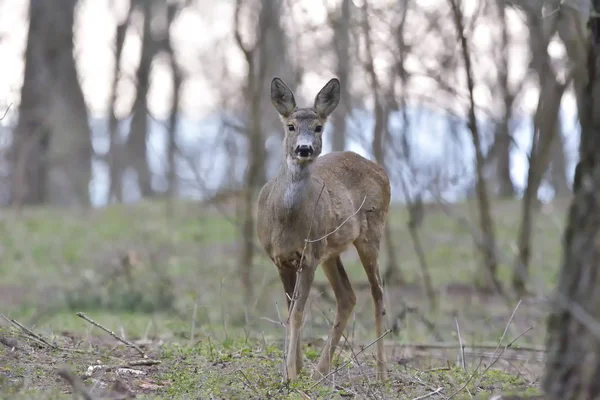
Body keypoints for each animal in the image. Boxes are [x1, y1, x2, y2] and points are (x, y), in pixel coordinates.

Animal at [255, 77, 392, 382]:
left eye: (318, 127)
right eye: (291, 126)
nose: (304, 149)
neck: (286, 221)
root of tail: (381, 169)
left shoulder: (309, 255)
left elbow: (298, 313)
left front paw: (291, 374)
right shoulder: (280, 258)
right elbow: (290, 312)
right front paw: (294, 369)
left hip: (369, 234)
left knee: (377, 291)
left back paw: (380, 373)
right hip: (331, 250)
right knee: (347, 296)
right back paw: (321, 370)